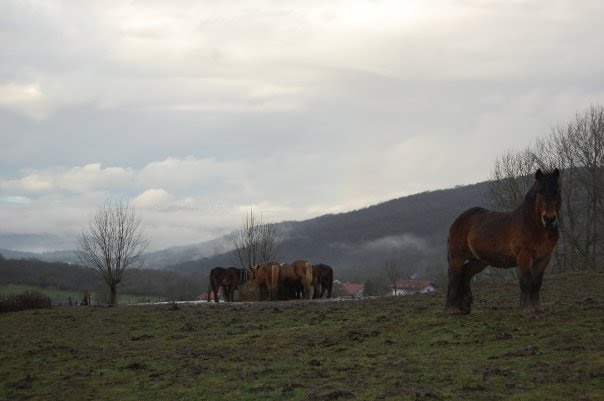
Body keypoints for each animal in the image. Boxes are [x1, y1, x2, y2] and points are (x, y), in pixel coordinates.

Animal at [446, 168, 560, 316]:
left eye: (557, 190)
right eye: (539, 191)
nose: (549, 219)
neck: (534, 225)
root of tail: (457, 221)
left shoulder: (544, 258)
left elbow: (537, 283)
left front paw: (538, 308)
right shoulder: (524, 256)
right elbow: (526, 281)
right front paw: (527, 310)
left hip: (479, 261)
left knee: (465, 273)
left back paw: (465, 307)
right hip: (457, 257)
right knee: (454, 279)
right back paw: (452, 309)